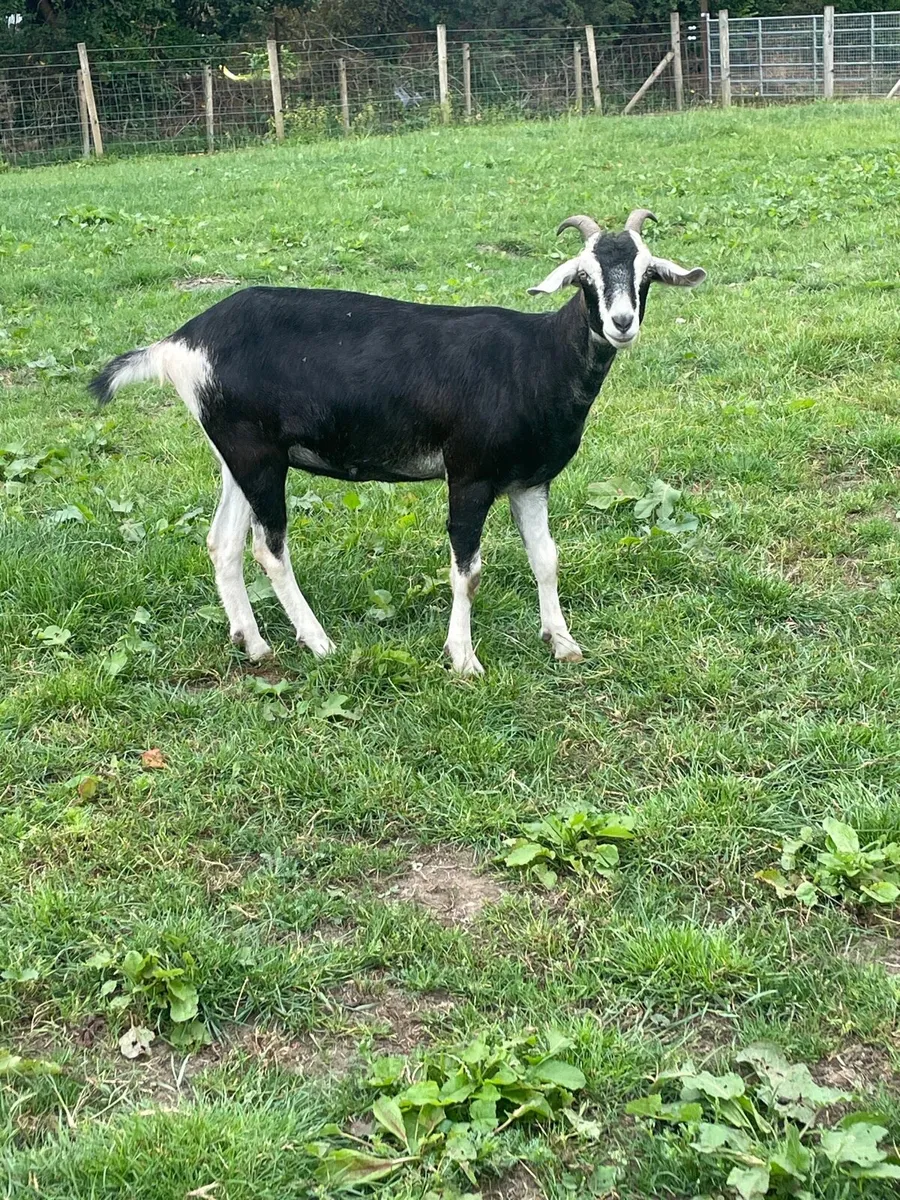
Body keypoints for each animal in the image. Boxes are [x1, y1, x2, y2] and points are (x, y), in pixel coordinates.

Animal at [90, 208, 705, 674]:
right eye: (584, 276)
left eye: (646, 273)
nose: (622, 323)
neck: (536, 360)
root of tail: (180, 344)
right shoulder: (469, 475)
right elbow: (468, 570)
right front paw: (463, 659)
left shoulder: (529, 482)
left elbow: (547, 559)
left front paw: (564, 643)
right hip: (258, 457)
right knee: (269, 547)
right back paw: (318, 642)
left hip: (236, 456)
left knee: (223, 542)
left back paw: (254, 643)